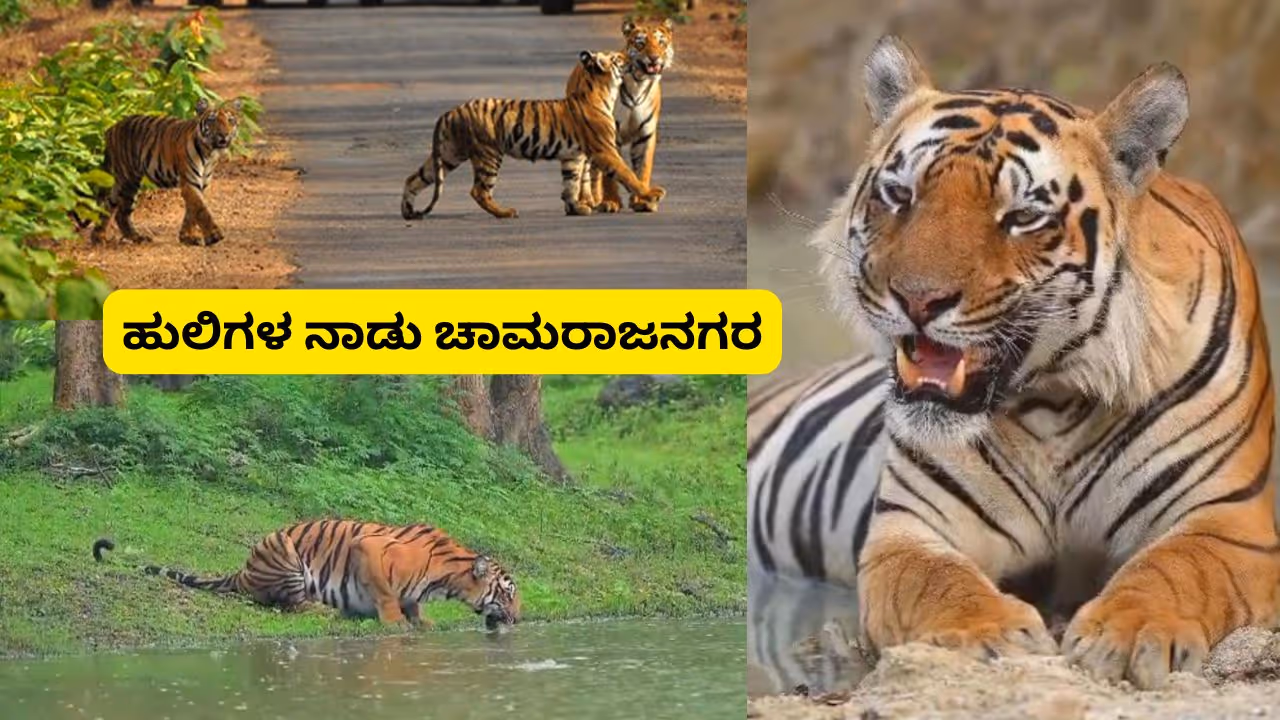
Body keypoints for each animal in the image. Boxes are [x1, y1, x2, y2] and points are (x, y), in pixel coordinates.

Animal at [90, 97, 242, 247]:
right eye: (212, 120)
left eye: (230, 120)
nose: (224, 135)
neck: (209, 152)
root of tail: (111, 128)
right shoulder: (189, 182)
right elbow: (201, 210)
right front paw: (214, 236)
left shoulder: (201, 184)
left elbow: (191, 211)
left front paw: (187, 237)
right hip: (128, 180)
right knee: (120, 212)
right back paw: (126, 238)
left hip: (122, 182)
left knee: (110, 206)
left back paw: (103, 237)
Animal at [92, 519, 521, 630]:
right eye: (508, 593)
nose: (520, 618)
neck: (446, 578)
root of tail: (242, 570)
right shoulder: (369, 548)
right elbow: (386, 595)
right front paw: (396, 622)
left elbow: (414, 605)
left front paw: (423, 622)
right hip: (286, 555)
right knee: (287, 605)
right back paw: (329, 610)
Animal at [400, 50, 665, 220]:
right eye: (619, 58)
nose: (631, 58)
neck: (602, 91)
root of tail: (451, 111)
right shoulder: (605, 150)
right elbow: (628, 174)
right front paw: (651, 194)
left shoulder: (573, 157)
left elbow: (570, 183)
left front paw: (576, 208)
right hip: (488, 154)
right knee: (479, 191)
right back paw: (505, 213)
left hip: (448, 154)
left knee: (414, 178)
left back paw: (408, 211)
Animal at [565, 18, 674, 214]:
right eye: (640, 43)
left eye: (661, 43)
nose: (654, 57)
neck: (639, 83)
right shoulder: (611, 135)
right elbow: (611, 174)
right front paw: (611, 202)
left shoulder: (645, 135)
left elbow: (642, 169)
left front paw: (642, 201)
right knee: (584, 170)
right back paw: (585, 201)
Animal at [748, 35, 1279, 690]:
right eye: (900, 195)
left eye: (1022, 216)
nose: (917, 299)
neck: (1053, 397)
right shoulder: (913, 529)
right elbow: (937, 582)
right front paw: (988, 635)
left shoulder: (1227, 521)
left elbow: (1177, 568)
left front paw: (1131, 635)